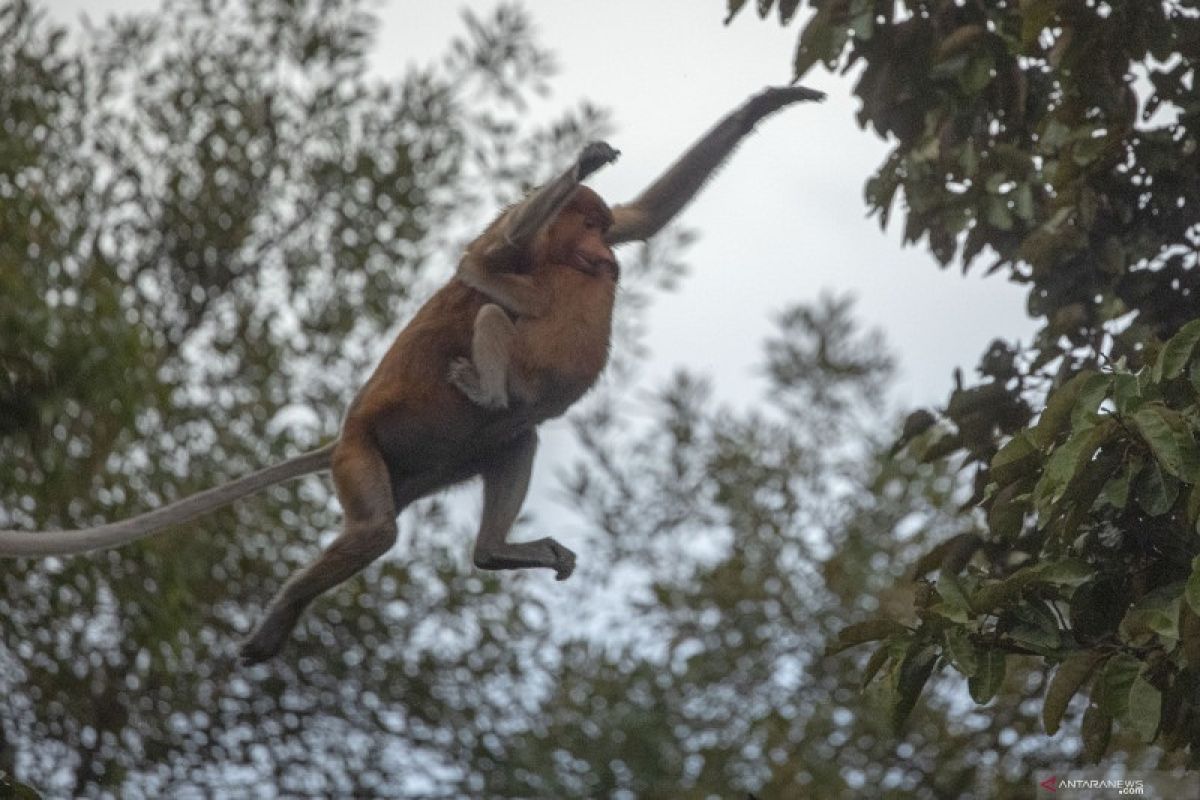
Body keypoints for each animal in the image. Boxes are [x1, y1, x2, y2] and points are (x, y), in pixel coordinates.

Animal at [0, 86, 825, 662]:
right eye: (584, 227)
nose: (600, 254)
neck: (561, 257)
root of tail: (342, 436)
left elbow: (644, 217)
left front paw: (770, 101)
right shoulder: (512, 236)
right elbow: (482, 269)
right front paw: (581, 162)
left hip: (437, 464)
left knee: (514, 442)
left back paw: (497, 551)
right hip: (362, 456)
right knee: (380, 521)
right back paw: (281, 618)